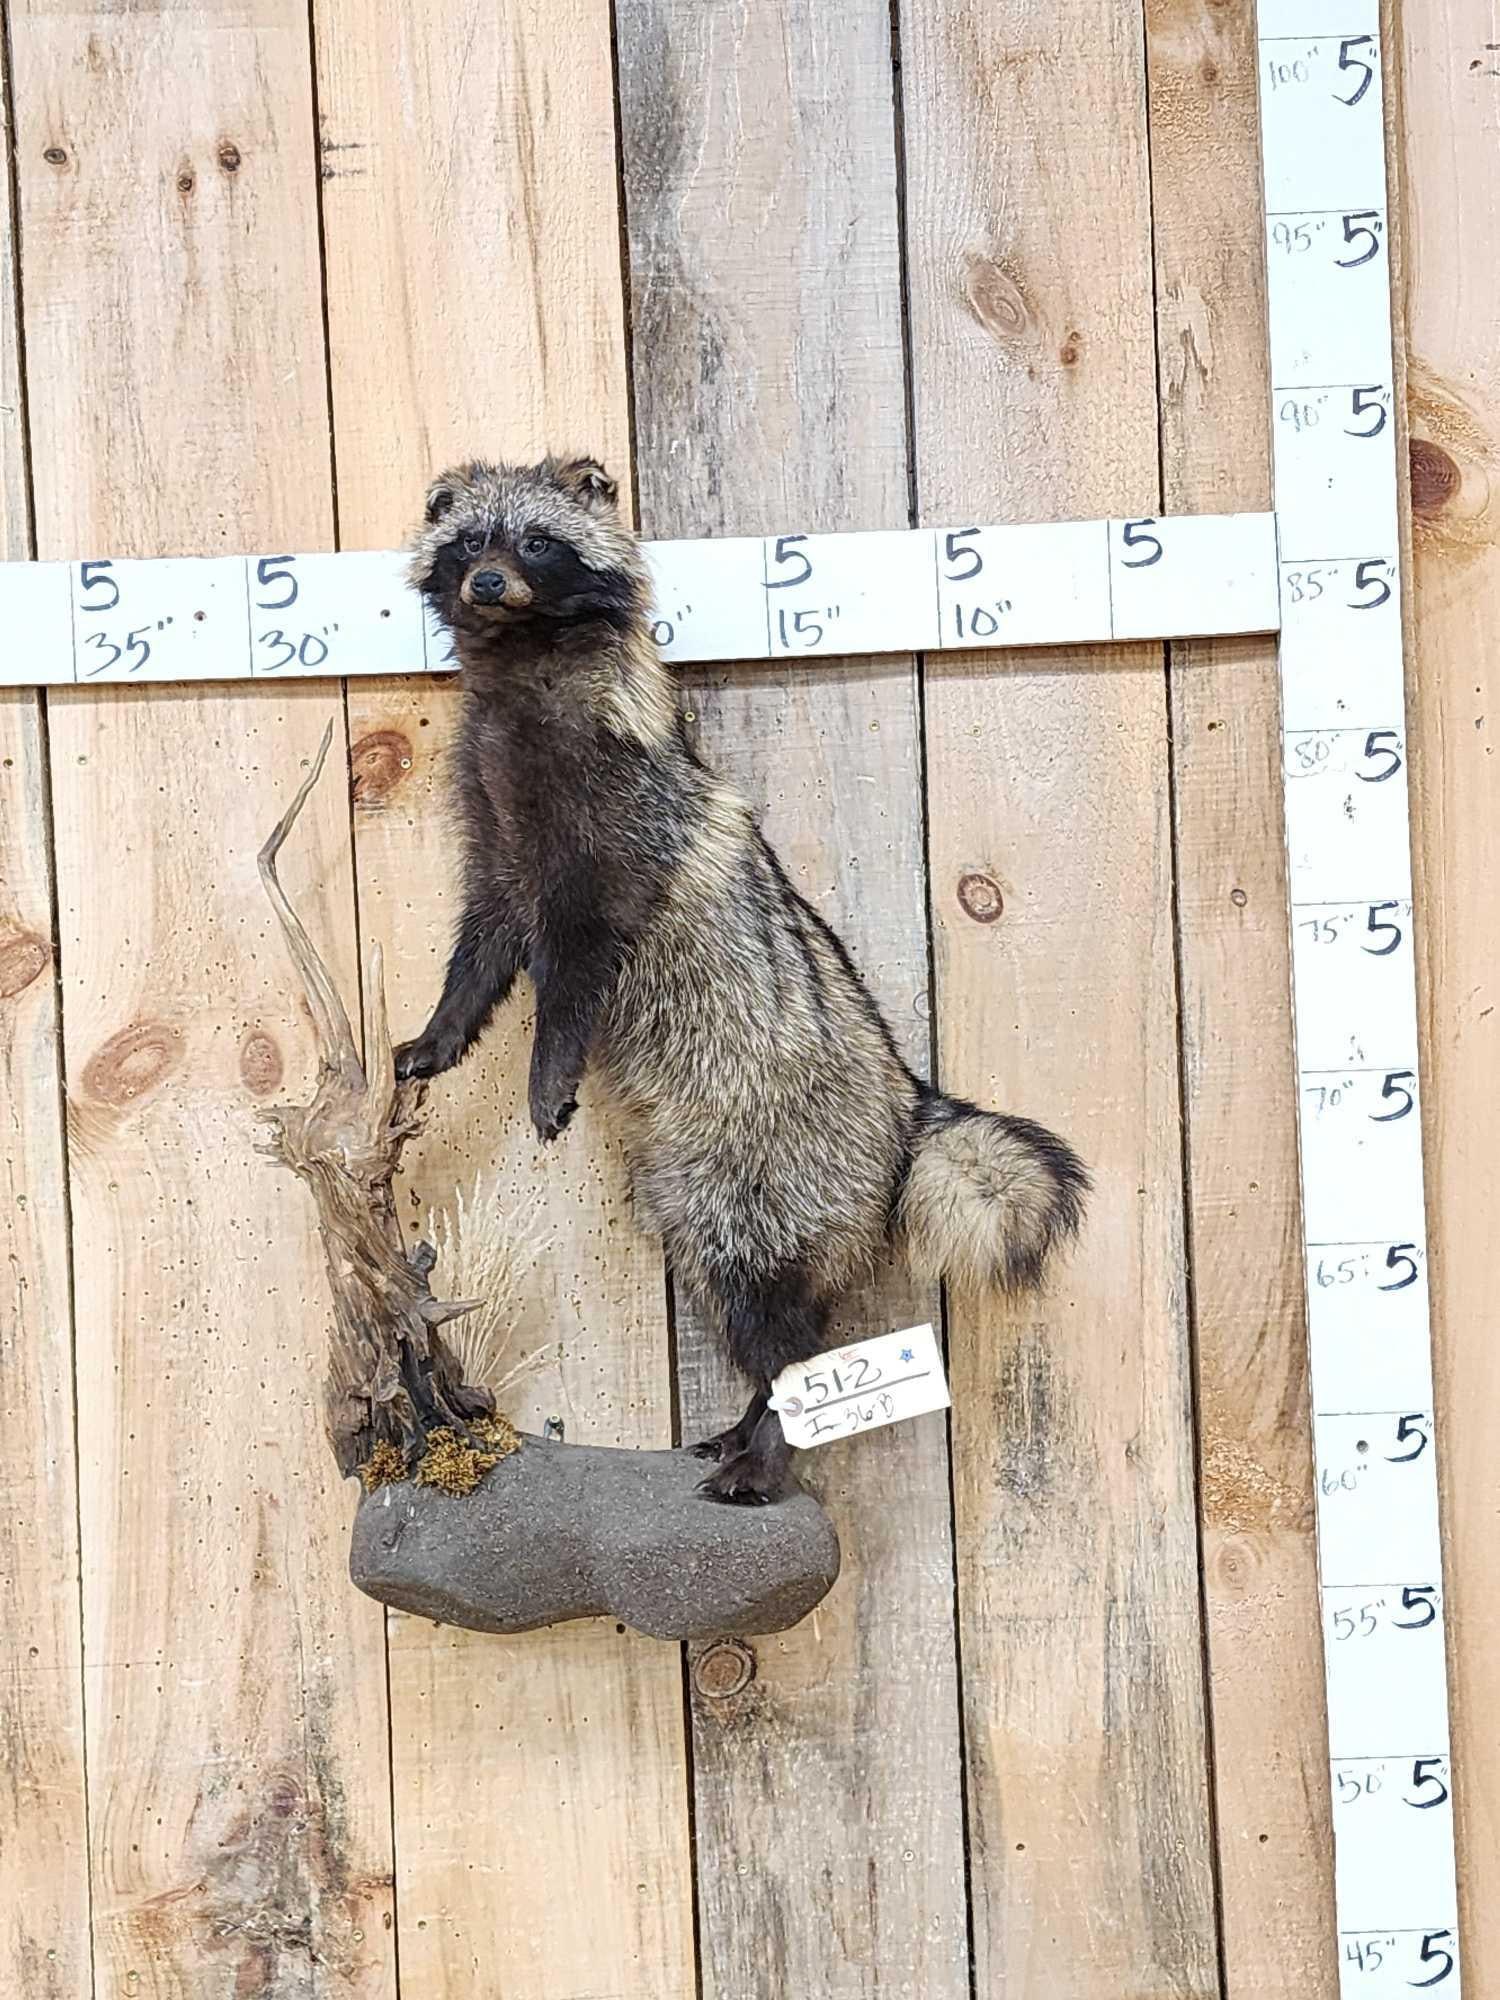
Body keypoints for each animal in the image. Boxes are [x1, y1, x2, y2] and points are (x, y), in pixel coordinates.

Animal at [397, 454, 1089, 1503]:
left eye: (538, 543)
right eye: (472, 539)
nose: (485, 583)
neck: (524, 664)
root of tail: (907, 1105)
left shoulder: (616, 834)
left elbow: (576, 971)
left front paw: (548, 1062)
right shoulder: (495, 824)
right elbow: (484, 945)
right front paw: (443, 1030)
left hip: (768, 1183)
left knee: (784, 1330)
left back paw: (773, 1446)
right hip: (701, 1195)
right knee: (756, 1317)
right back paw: (751, 1422)